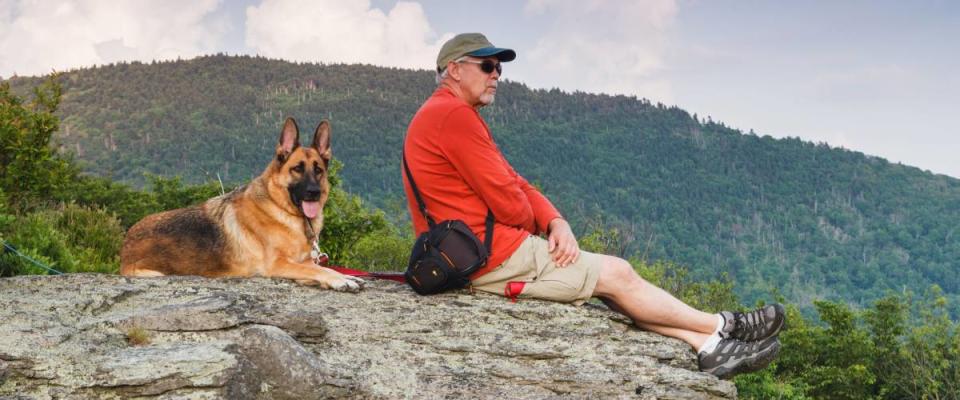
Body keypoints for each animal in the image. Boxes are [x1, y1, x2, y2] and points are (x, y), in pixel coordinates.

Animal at [117, 117, 364, 292]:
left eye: (318, 170)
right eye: (297, 169)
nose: (314, 193)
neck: (281, 208)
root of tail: (126, 243)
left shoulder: (302, 262)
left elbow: (318, 267)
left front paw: (345, 275)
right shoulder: (277, 264)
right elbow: (317, 270)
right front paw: (338, 279)